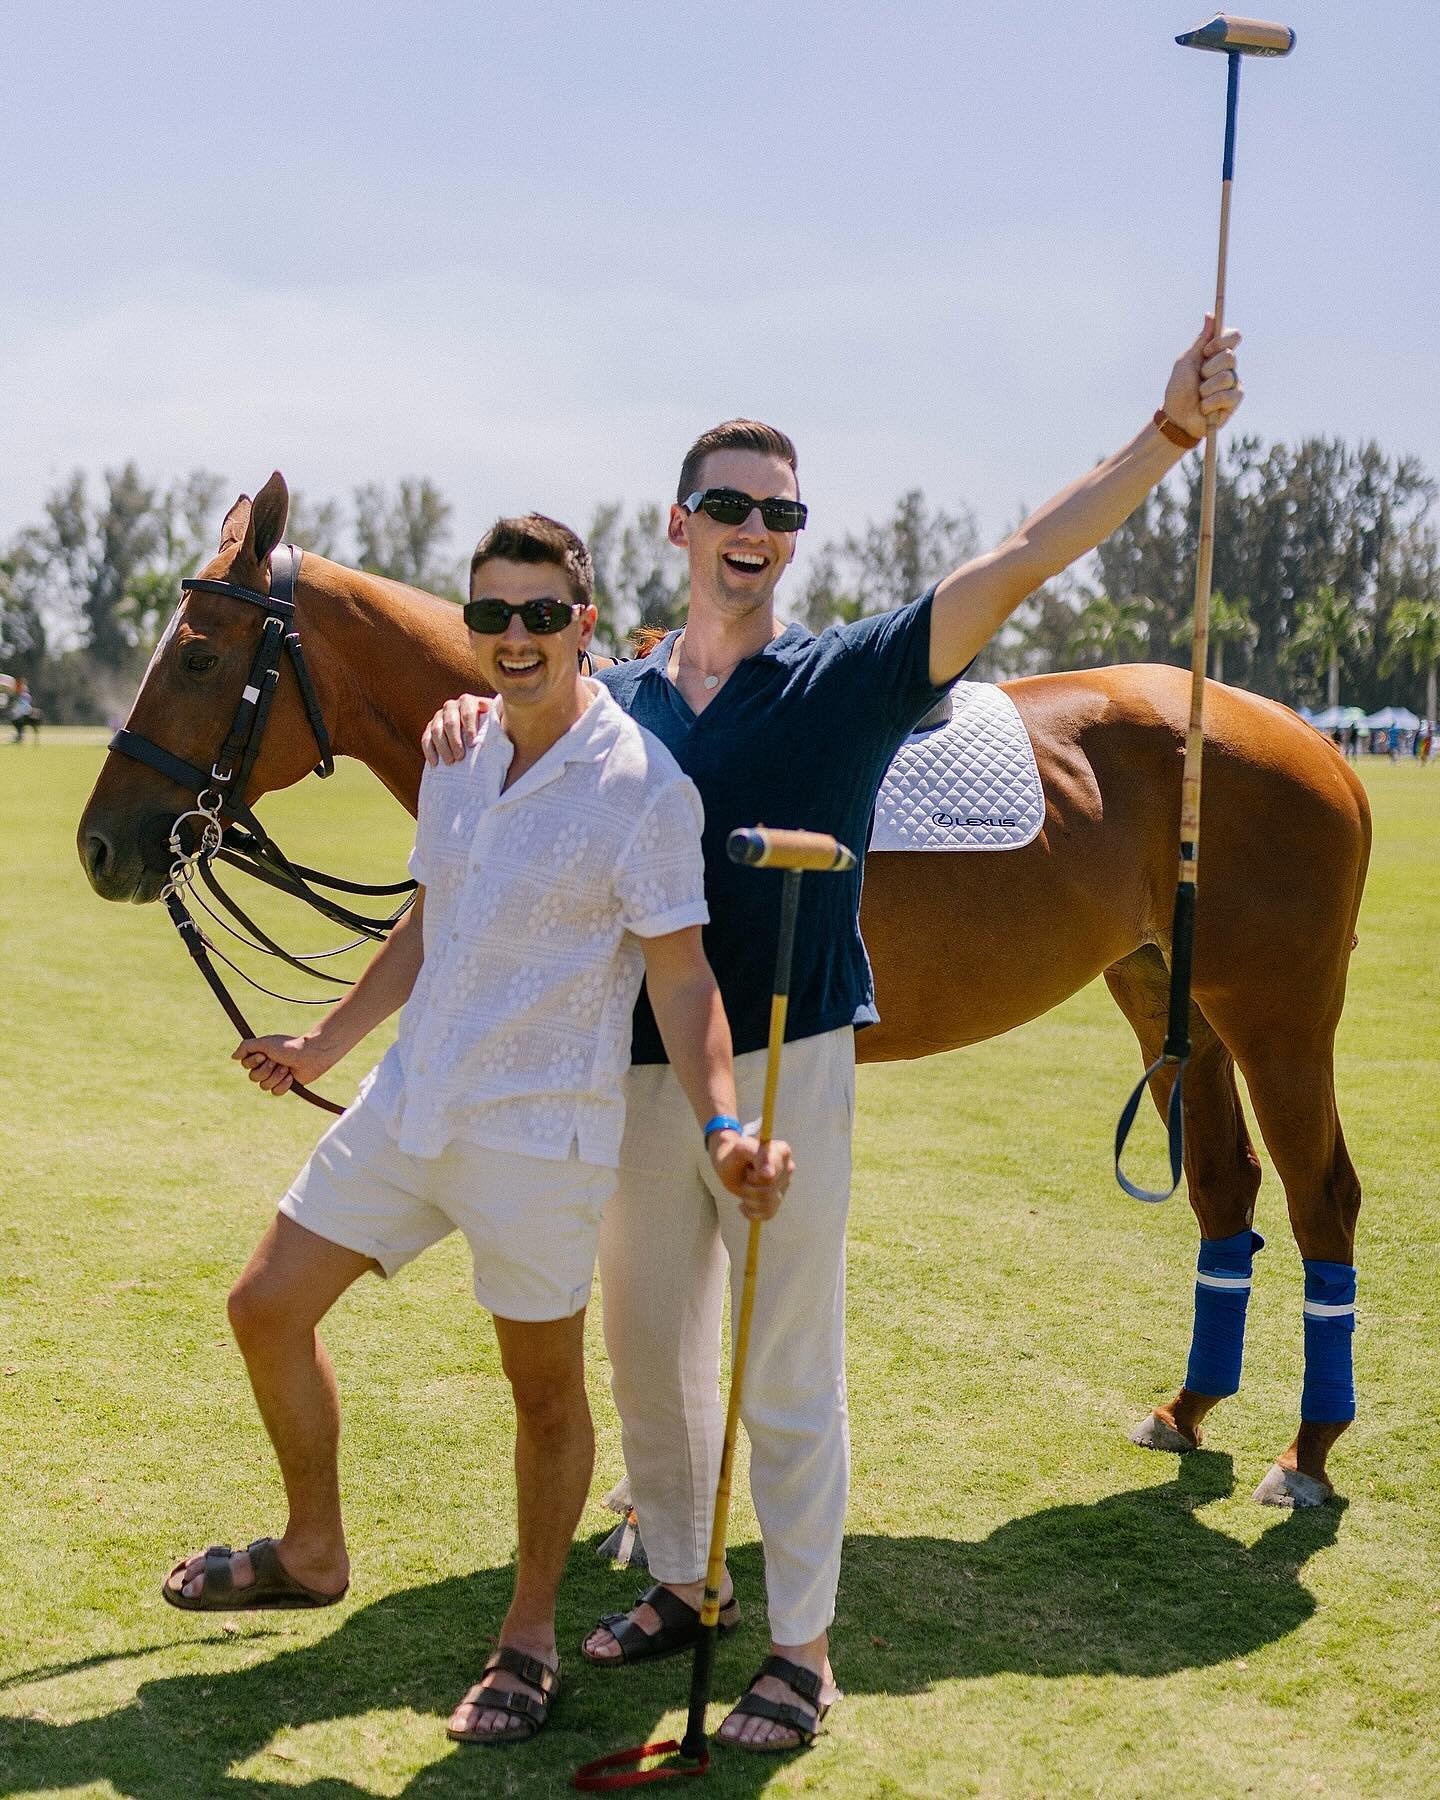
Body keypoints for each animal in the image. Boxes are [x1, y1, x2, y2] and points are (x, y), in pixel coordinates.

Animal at [72, 478, 1368, 1504]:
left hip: (1280, 1012)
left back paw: (1307, 1455)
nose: (99, 845)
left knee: (1323, 1197)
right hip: (1165, 994)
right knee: (1226, 1188)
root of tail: (1319, 741)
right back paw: (1187, 1410)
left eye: (197, 655)